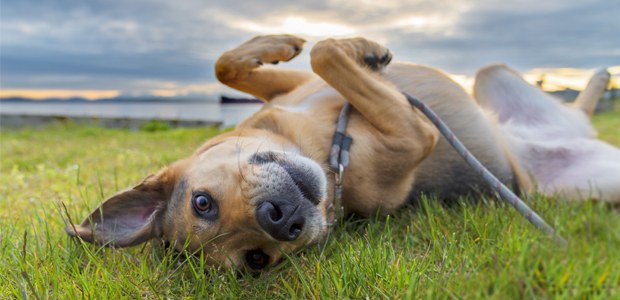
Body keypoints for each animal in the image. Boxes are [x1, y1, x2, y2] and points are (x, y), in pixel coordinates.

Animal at [65, 34, 616, 270]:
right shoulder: (413, 134)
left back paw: (597, 78)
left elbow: (237, 65)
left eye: (203, 202)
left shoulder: (295, 88)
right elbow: (327, 55)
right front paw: (357, 49)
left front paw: (290, 41)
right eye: (257, 260)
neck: (316, 143)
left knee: (574, 106)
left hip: (491, 75)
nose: (280, 219)